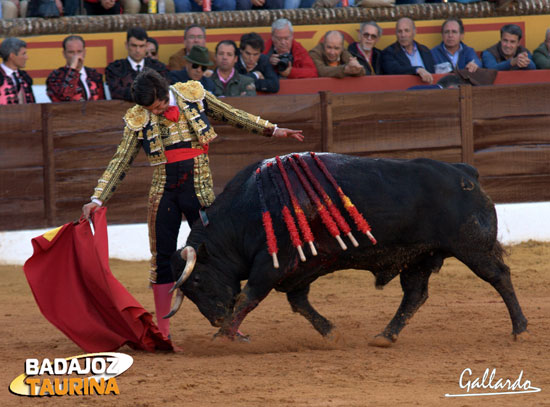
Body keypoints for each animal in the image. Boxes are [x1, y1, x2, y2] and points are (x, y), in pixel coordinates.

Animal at [166, 153, 528, 348]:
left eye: (196, 281)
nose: (216, 318)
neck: (249, 210)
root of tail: (465, 172)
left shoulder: (271, 266)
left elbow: (248, 297)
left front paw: (220, 338)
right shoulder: (299, 270)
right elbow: (299, 303)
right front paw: (332, 334)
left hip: (472, 247)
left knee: (499, 276)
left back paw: (520, 329)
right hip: (419, 257)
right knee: (414, 295)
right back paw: (385, 335)